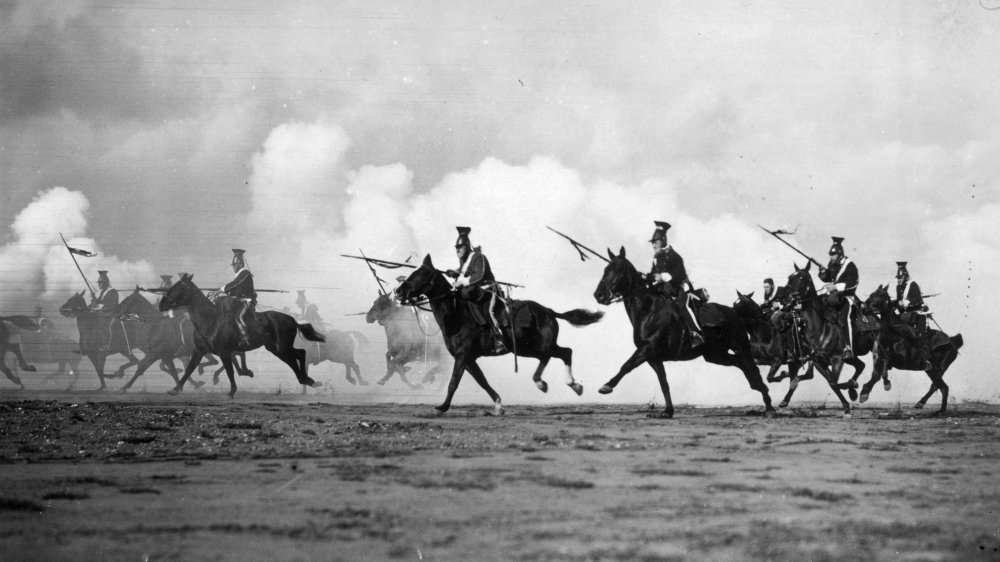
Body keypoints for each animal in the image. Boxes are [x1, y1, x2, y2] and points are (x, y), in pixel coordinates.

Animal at [157, 274, 324, 396]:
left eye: (178, 287)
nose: (161, 305)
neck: (210, 320)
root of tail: (292, 320)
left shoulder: (224, 352)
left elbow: (229, 370)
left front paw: (232, 391)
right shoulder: (199, 351)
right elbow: (189, 369)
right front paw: (175, 389)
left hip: (281, 348)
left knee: (296, 357)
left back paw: (307, 380)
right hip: (275, 348)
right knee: (298, 355)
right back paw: (308, 380)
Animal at [396, 254, 600, 412]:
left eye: (421, 274)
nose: (398, 292)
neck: (456, 314)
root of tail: (549, 311)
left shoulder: (462, 355)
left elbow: (454, 382)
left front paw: (442, 407)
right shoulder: (468, 358)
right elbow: (482, 381)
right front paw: (498, 405)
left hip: (538, 346)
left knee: (561, 353)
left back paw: (552, 383)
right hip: (528, 348)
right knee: (560, 354)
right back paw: (563, 384)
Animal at [588, 247, 776, 418]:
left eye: (617, 269)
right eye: (605, 269)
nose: (599, 295)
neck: (648, 309)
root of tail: (734, 312)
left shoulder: (647, 349)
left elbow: (627, 365)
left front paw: (607, 386)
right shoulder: (653, 357)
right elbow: (663, 382)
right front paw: (667, 411)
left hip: (740, 347)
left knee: (751, 367)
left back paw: (769, 406)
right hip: (715, 355)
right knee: (740, 364)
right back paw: (760, 391)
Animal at [780, 262, 876, 416]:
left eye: (801, 278)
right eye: (790, 277)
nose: (785, 298)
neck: (819, 329)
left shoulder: (837, 359)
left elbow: (833, 382)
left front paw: (848, 401)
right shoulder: (818, 361)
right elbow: (831, 382)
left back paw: (860, 392)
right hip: (851, 358)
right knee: (860, 366)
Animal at [860, 284, 960, 412]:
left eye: (880, 295)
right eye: (871, 294)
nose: (864, 307)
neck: (891, 333)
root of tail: (952, 341)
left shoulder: (900, 360)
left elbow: (883, 369)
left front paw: (884, 384)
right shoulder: (877, 358)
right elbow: (876, 375)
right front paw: (865, 392)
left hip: (939, 368)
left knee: (941, 387)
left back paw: (939, 411)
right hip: (932, 370)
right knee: (938, 386)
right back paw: (922, 404)